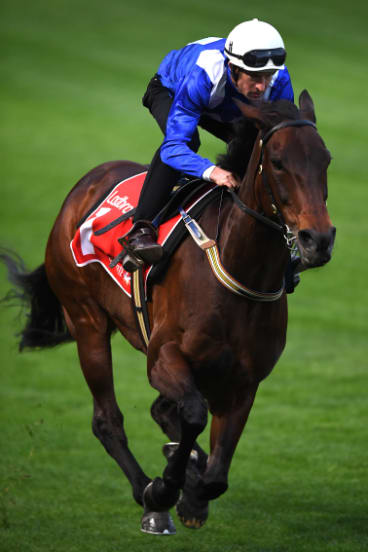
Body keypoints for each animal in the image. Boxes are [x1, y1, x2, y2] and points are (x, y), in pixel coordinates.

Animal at [2, 90, 336, 536]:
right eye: (279, 162)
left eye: (326, 159)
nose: (318, 239)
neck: (237, 267)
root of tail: (84, 185)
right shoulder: (164, 357)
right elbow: (192, 414)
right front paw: (164, 490)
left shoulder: (244, 382)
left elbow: (216, 474)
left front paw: (193, 491)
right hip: (87, 321)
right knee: (107, 419)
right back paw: (148, 491)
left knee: (160, 411)